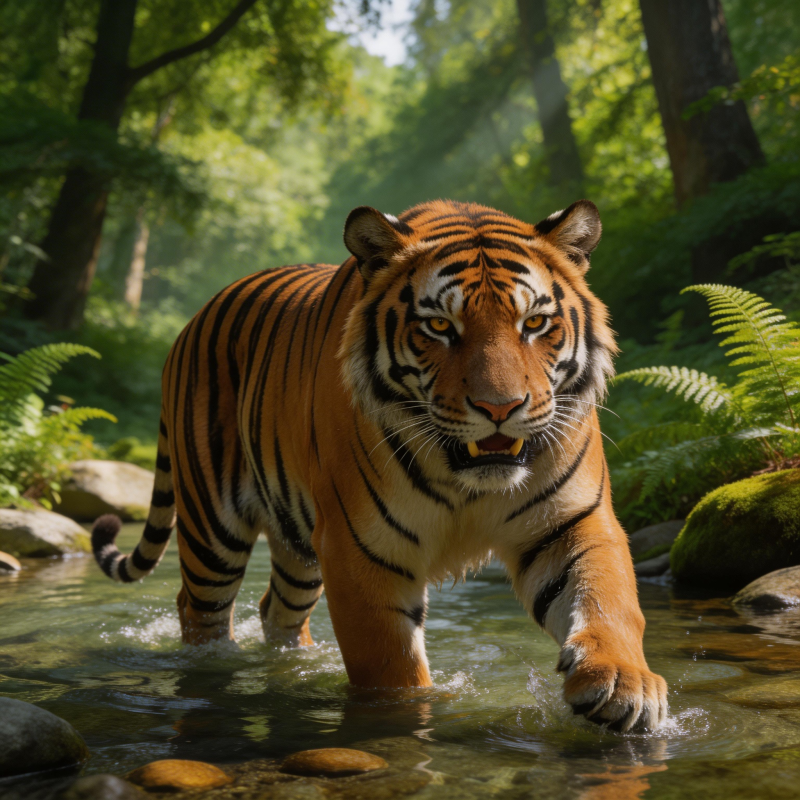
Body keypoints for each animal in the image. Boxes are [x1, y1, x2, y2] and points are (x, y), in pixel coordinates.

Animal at [92, 198, 668, 732]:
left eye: (535, 323)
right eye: (439, 326)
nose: (500, 408)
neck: (467, 481)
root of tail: (197, 316)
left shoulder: (572, 522)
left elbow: (607, 599)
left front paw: (623, 684)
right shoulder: (361, 549)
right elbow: (390, 669)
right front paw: (406, 719)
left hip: (297, 544)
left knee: (276, 610)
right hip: (213, 531)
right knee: (199, 611)